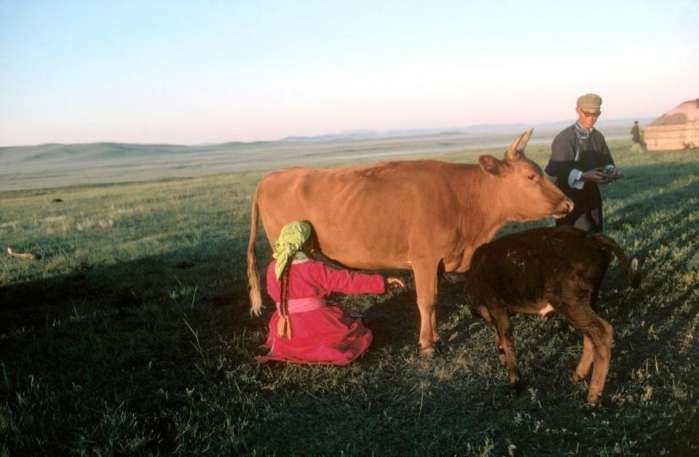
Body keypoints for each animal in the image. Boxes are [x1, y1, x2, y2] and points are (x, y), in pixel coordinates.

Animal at [246, 128, 576, 352]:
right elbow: (425, 301)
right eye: (531, 176)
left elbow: (435, 300)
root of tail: (271, 177)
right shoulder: (424, 259)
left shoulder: (439, 262)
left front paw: (437, 335)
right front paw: (427, 344)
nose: (569, 204)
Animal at [464, 224, 640, 402]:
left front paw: (515, 383)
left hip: (569, 302)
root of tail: (591, 238)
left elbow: (507, 341)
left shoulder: (496, 307)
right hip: (588, 300)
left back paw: (592, 398)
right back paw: (578, 375)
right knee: (591, 335)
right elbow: (500, 338)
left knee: (602, 331)